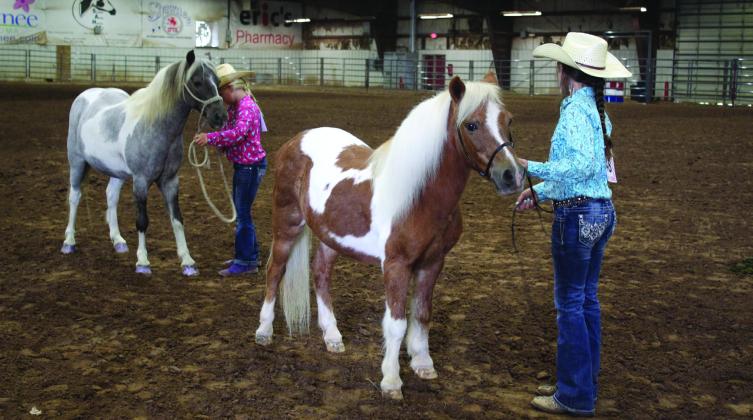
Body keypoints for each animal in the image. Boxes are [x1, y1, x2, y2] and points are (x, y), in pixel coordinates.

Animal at [61, 50, 227, 276]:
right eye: (196, 81)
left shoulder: (170, 181)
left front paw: (187, 262)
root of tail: (85, 96)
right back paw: (69, 242)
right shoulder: (140, 181)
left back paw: (118, 241)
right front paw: (142, 262)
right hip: (77, 163)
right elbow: (142, 221)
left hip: (117, 172)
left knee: (111, 196)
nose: (220, 116)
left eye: (217, 81)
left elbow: (177, 219)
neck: (156, 126)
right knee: (74, 197)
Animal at [254, 74, 525, 399]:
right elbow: (396, 323)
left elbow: (422, 314)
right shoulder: (396, 264)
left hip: (331, 235)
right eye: (471, 125)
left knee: (320, 273)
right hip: (287, 224)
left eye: (508, 120)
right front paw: (392, 381)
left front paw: (423, 364)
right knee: (274, 271)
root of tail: (297, 139)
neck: (420, 196)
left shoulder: (432, 263)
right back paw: (264, 332)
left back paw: (332, 336)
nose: (512, 175)